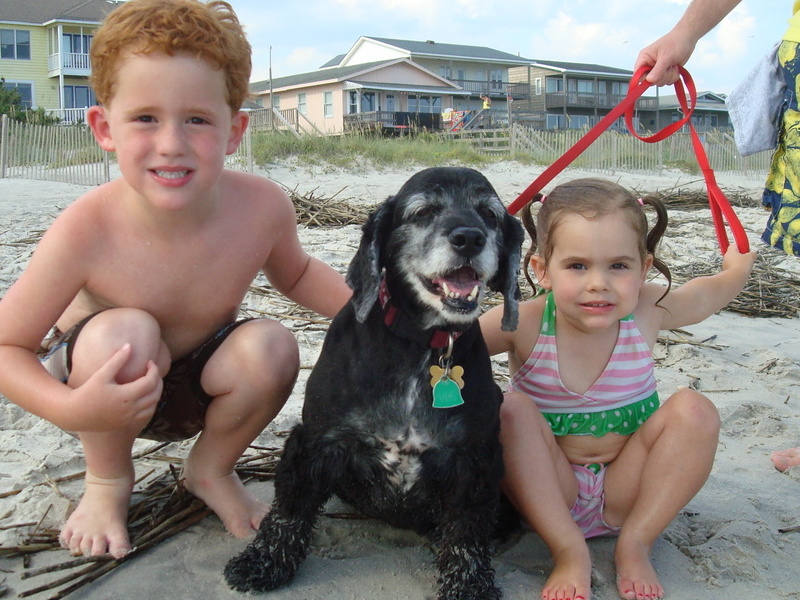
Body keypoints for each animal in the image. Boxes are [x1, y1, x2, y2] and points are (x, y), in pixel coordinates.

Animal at [225, 165, 524, 600]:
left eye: (490, 215)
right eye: (422, 212)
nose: (470, 237)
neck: (421, 344)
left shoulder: (474, 459)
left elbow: (467, 531)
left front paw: (469, 586)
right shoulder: (316, 440)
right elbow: (290, 508)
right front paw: (263, 561)